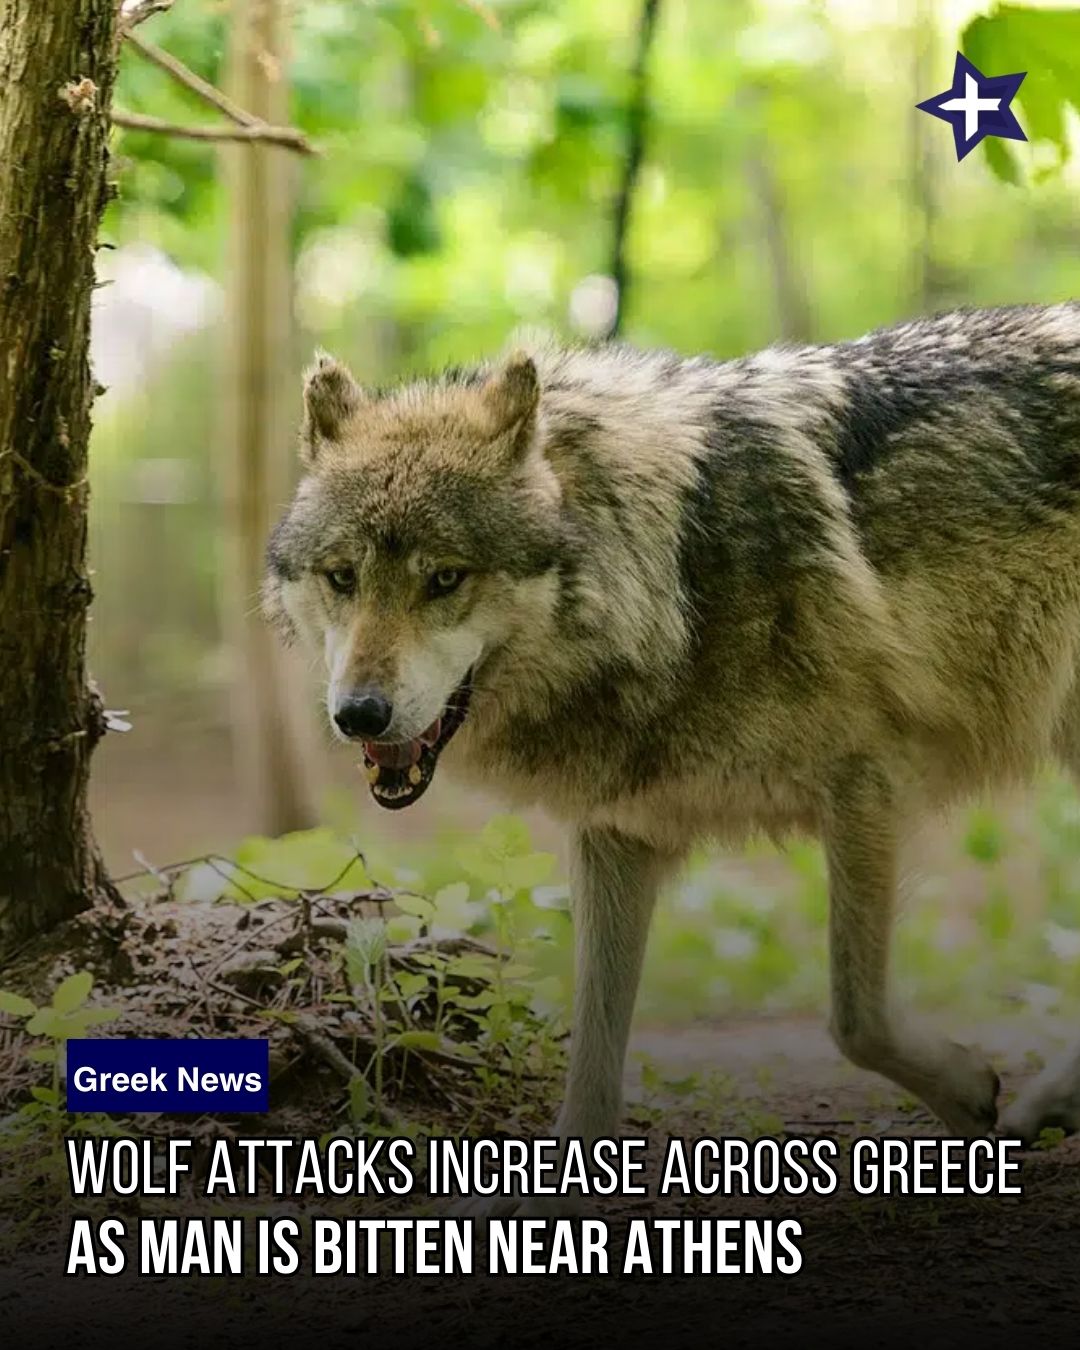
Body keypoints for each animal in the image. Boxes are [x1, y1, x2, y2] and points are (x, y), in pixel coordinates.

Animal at [264, 302, 1080, 1205]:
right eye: (342, 577)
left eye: (445, 578)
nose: (358, 715)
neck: (672, 575)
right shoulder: (619, 830)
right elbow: (593, 1058)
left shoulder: (865, 788)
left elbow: (854, 1019)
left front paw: (968, 1089)